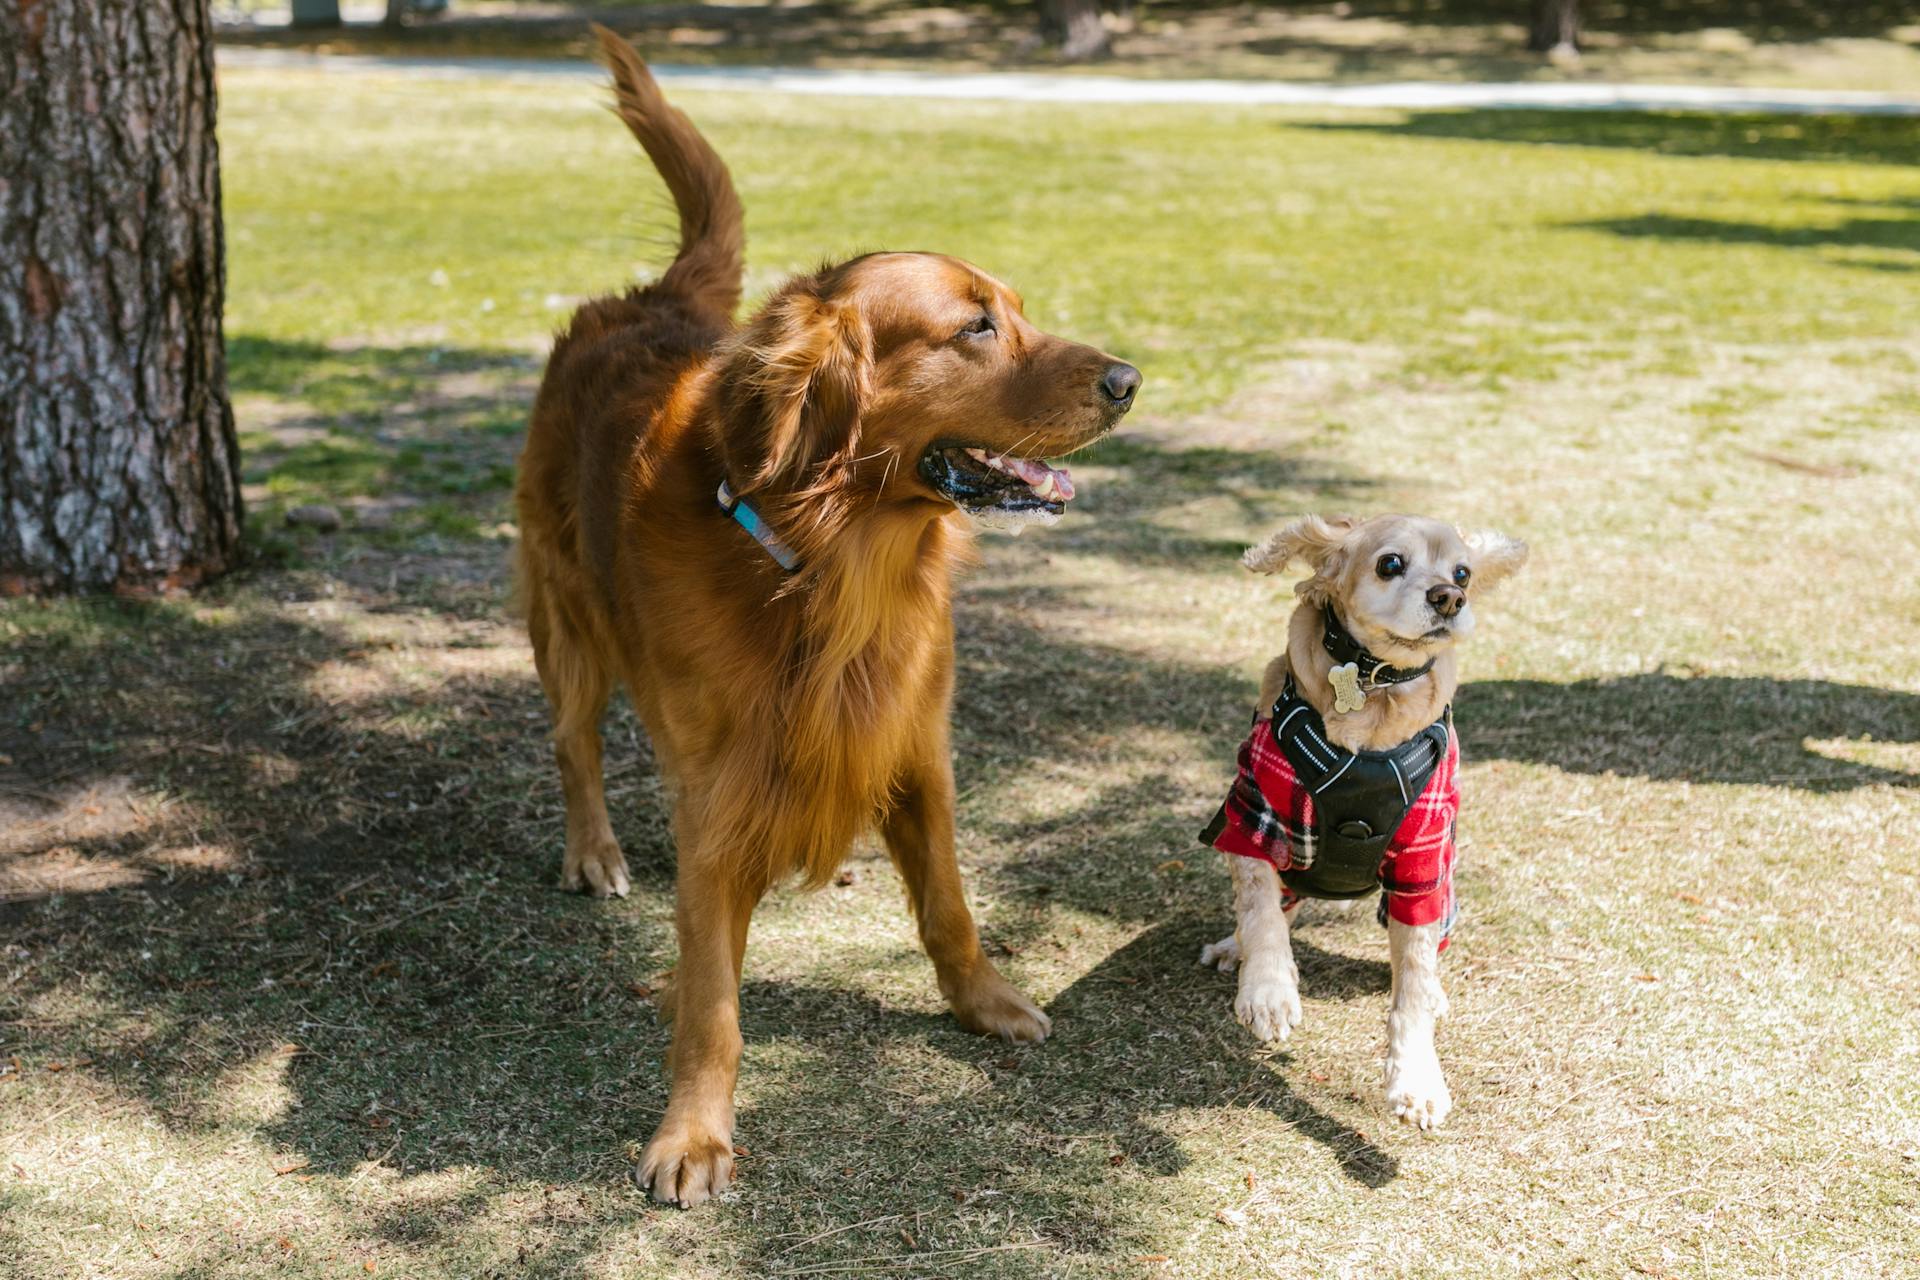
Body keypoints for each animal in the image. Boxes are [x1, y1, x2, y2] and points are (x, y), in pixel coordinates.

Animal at [1198, 514, 1528, 1128]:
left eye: (1463, 572)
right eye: (1390, 563)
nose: (1450, 598)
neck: (1375, 688)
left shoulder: (1422, 858)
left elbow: (1413, 979)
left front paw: (1416, 1079)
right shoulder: (1252, 813)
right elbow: (1259, 911)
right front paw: (1268, 991)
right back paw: (1235, 949)